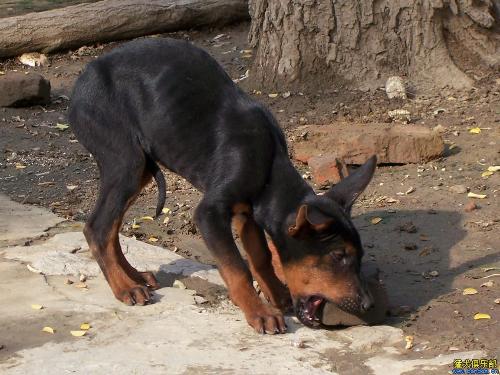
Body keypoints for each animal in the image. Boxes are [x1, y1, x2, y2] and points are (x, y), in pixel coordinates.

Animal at [69, 39, 376, 334]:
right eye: (338, 255)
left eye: (359, 255)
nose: (368, 304)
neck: (268, 166)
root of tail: (79, 84)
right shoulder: (210, 213)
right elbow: (238, 268)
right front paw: (259, 313)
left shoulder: (247, 213)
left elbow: (261, 257)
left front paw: (277, 295)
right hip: (127, 163)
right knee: (97, 227)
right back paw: (124, 287)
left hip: (141, 167)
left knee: (111, 228)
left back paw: (134, 276)